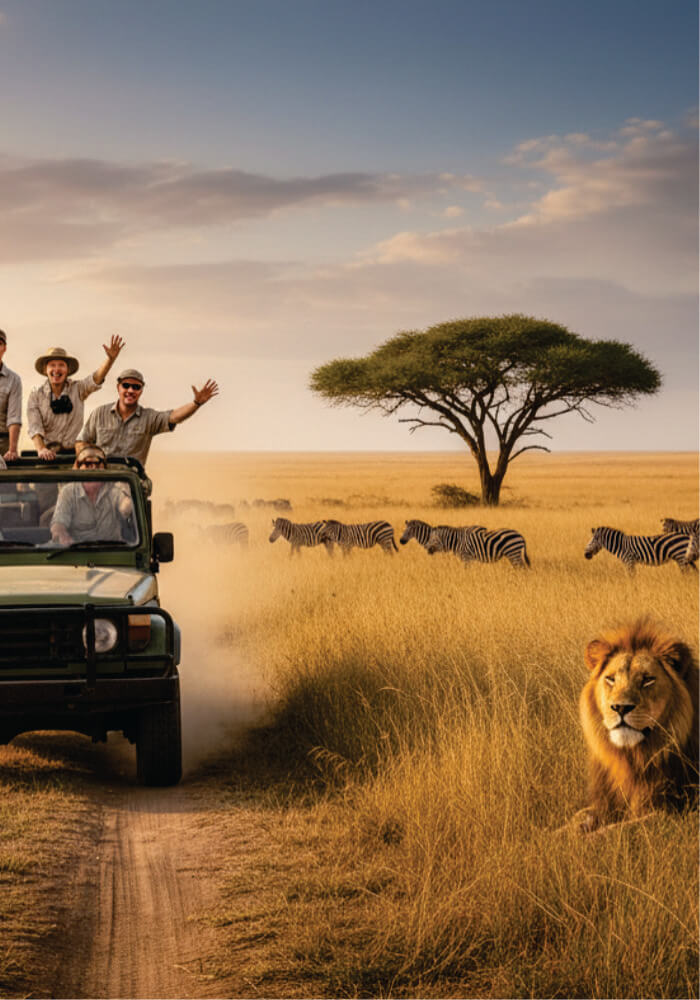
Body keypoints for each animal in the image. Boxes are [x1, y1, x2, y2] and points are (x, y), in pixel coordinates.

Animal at [574, 619, 698, 833]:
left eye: (648, 680)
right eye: (611, 679)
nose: (621, 707)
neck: (632, 759)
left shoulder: (672, 813)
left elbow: (614, 830)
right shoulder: (606, 802)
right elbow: (574, 819)